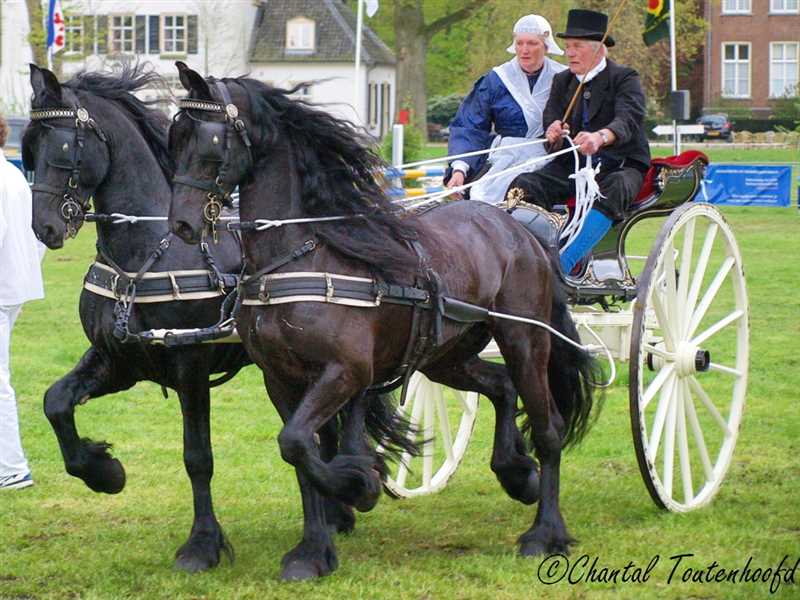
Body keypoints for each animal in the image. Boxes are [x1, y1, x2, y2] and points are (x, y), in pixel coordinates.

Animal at [166, 65, 596, 580]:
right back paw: (516, 472)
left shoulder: (347, 372)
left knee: (548, 427)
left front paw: (359, 483)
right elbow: (299, 454)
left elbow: (299, 444)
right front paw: (313, 549)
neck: (298, 257)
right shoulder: (280, 380)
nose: (182, 225)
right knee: (500, 387)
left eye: (210, 140)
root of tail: (520, 229)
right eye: (174, 136)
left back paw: (546, 531)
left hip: (524, 339)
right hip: (446, 355)